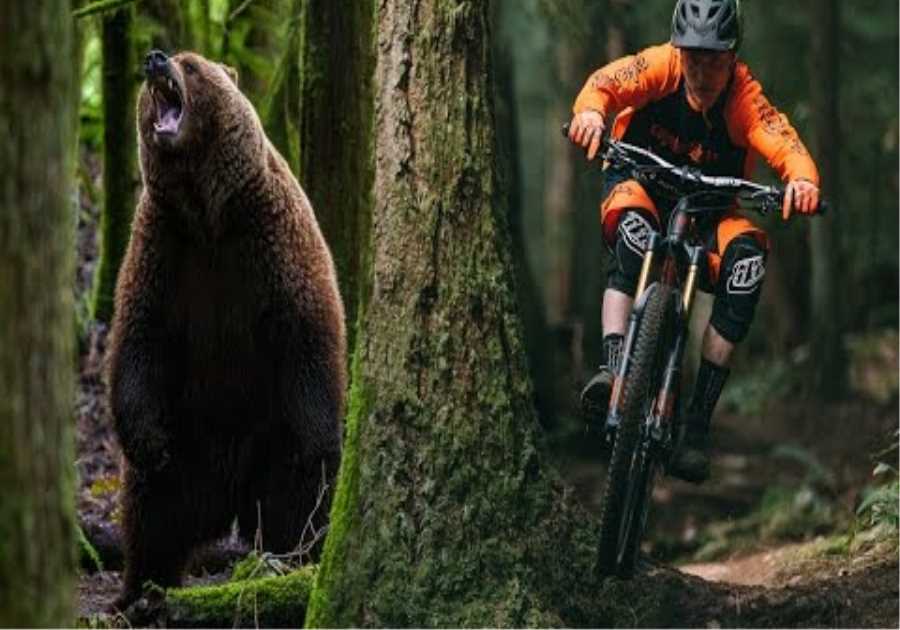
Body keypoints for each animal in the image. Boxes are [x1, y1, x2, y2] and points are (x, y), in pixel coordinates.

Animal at [106, 49, 346, 609]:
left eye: (191, 65)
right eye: (170, 59)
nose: (154, 59)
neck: (208, 212)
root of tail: (231, 501)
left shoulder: (273, 243)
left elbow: (309, 331)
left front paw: (323, 442)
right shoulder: (164, 250)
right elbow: (139, 337)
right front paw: (145, 440)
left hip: (269, 435)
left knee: (295, 503)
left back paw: (294, 560)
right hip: (188, 438)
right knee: (152, 511)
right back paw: (140, 591)